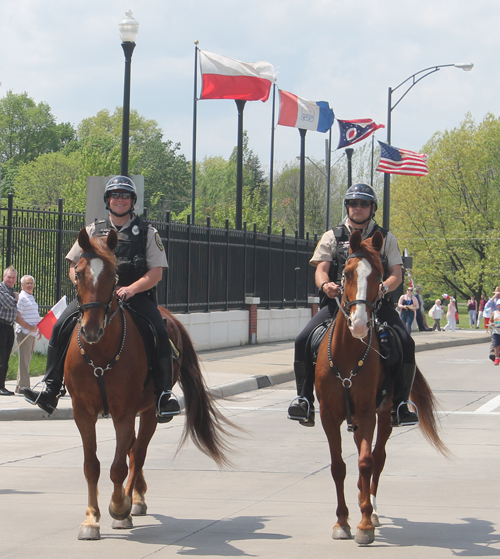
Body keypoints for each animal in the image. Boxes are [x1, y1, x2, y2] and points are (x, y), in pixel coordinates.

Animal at [64, 228, 232, 544]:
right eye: (78, 273)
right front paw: (91, 519)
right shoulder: (83, 412)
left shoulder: (125, 412)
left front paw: (119, 507)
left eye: (114, 276)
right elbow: (92, 465)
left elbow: (119, 466)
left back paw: (131, 503)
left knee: (137, 453)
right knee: (133, 451)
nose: (91, 330)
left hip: (150, 411)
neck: (100, 354)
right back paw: (136, 497)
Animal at [314, 231, 448, 548]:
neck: (348, 353)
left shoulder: (367, 412)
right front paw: (342, 522)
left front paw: (364, 524)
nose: (360, 324)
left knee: (378, 457)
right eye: (346, 273)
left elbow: (366, 462)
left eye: (378, 275)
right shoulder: (328, 415)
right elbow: (338, 466)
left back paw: (371, 508)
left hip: (385, 415)